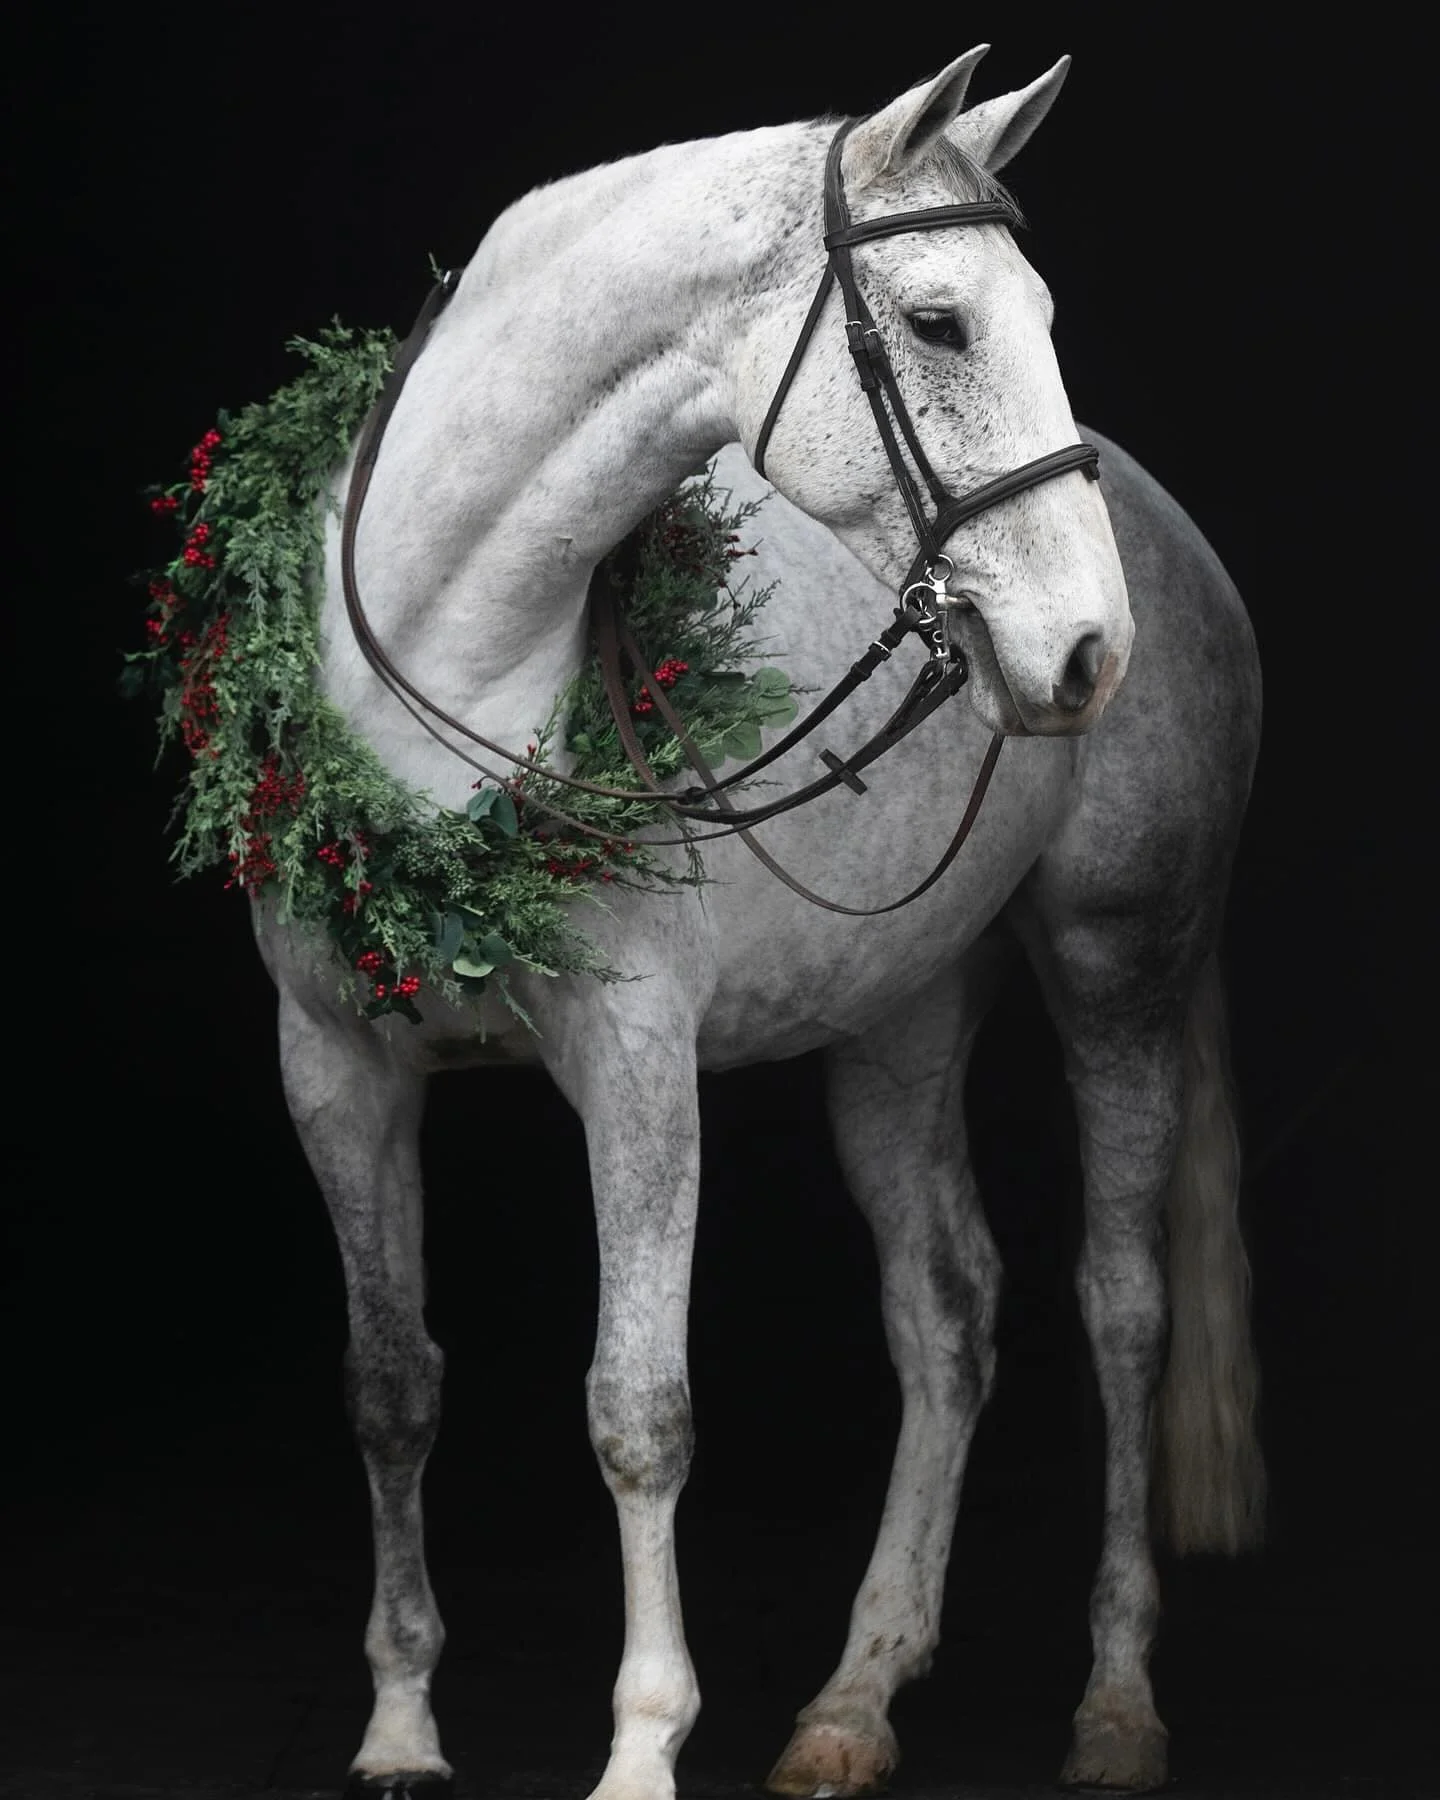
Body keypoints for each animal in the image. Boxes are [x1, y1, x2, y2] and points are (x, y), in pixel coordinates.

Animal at [254, 46, 1265, 1799]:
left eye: (1041, 312)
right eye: (939, 323)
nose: (1088, 650)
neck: (453, 689)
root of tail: (1173, 540)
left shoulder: (637, 1067)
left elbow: (637, 1408)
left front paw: (643, 1747)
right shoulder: (335, 1067)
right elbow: (390, 1387)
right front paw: (398, 1724)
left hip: (1118, 972)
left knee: (1121, 1309)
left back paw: (1116, 1702)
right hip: (899, 1016)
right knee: (947, 1316)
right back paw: (856, 1698)